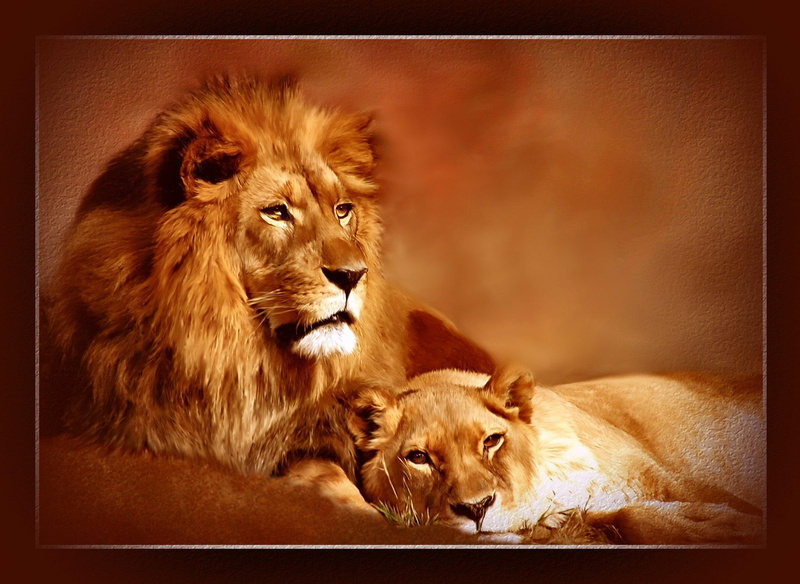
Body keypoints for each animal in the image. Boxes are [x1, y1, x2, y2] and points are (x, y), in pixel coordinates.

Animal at [347, 366, 765, 544]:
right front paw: (717, 525)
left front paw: (724, 523)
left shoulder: (673, 478)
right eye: (418, 457)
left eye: (492, 440)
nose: (477, 508)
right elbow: (629, 517)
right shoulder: (575, 519)